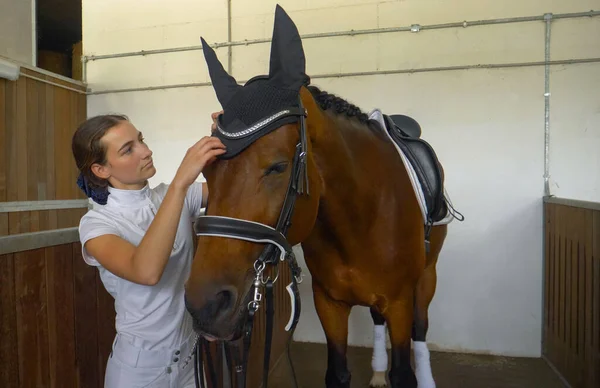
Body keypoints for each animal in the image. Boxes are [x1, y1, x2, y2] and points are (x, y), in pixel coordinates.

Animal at [185, 3, 462, 388]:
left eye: (278, 166)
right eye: (208, 171)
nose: (205, 306)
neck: (361, 219)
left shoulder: (400, 302)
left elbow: (404, 369)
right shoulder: (329, 304)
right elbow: (338, 372)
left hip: (427, 277)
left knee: (421, 327)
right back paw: (377, 374)